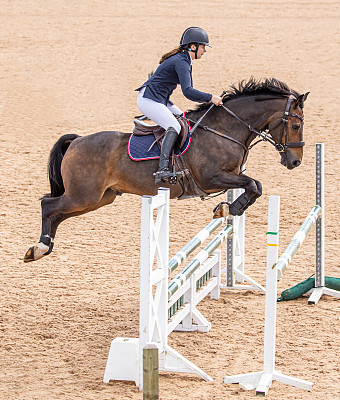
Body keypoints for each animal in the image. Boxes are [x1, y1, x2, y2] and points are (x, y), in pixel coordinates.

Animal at [23, 78, 310, 262]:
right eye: (296, 126)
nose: (295, 162)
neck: (225, 130)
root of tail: (77, 141)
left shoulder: (231, 176)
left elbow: (255, 186)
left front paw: (226, 208)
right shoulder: (212, 178)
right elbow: (254, 185)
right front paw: (229, 209)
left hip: (100, 198)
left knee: (57, 214)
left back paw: (43, 247)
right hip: (84, 195)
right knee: (48, 205)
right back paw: (39, 247)